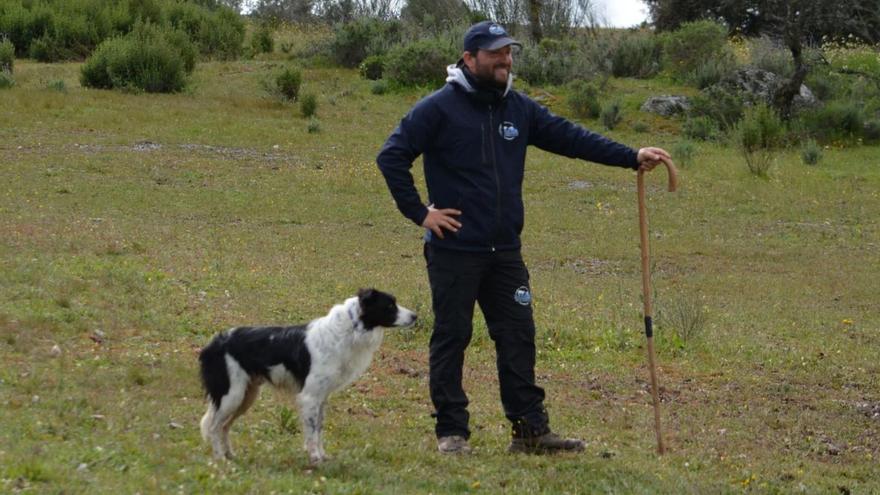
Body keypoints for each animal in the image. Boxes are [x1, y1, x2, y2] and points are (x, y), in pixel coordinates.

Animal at [199, 286, 416, 464]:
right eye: (390, 305)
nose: (415, 316)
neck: (349, 331)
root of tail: (214, 343)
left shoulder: (321, 397)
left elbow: (318, 429)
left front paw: (321, 456)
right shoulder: (310, 397)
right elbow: (312, 432)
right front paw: (315, 459)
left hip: (245, 396)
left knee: (224, 426)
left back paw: (229, 455)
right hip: (231, 395)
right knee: (214, 427)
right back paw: (220, 459)